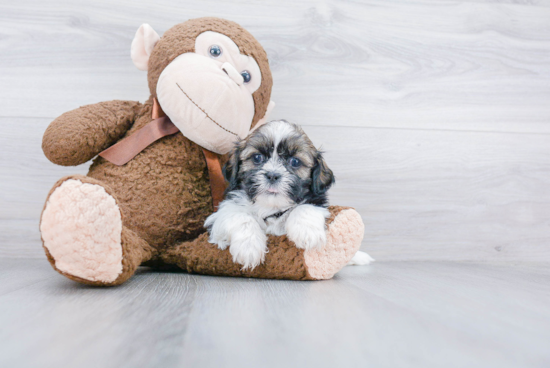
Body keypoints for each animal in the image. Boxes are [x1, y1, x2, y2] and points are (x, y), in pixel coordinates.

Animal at [205, 119, 378, 268]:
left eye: (294, 162)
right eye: (257, 157)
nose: (272, 175)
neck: (272, 207)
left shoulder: (315, 200)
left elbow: (305, 207)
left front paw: (307, 233)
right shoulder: (222, 212)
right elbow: (240, 216)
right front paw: (248, 248)